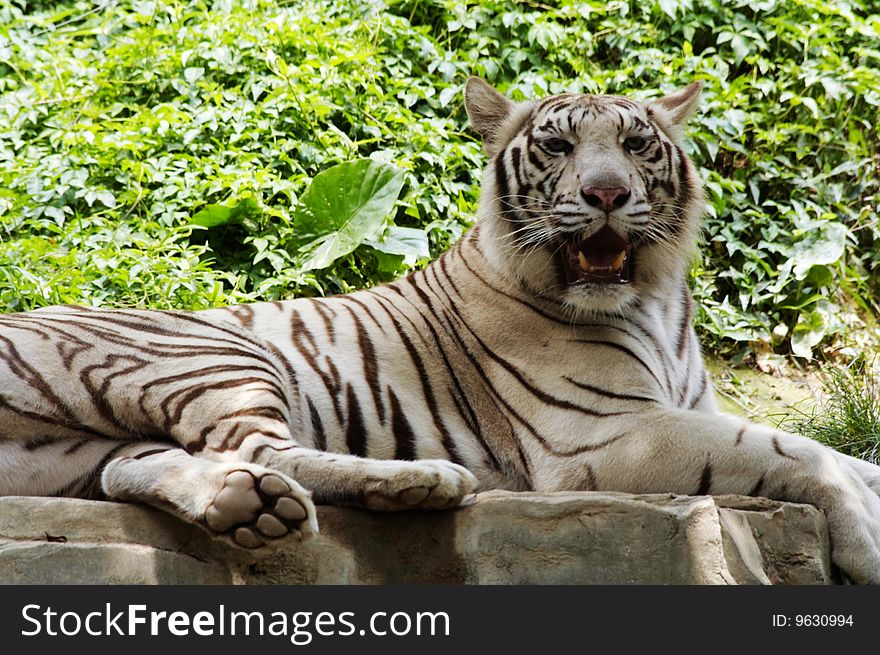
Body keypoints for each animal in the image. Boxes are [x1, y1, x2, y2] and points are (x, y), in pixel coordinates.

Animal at [1, 78, 880, 584]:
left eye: (635, 144)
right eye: (559, 145)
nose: (605, 193)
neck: (654, 297)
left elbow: (839, 453)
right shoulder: (600, 436)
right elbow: (799, 451)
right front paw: (866, 544)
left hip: (72, 456)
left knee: (149, 465)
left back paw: (252, 507)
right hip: (209, 351)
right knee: (261, 447)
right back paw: (418, 480)